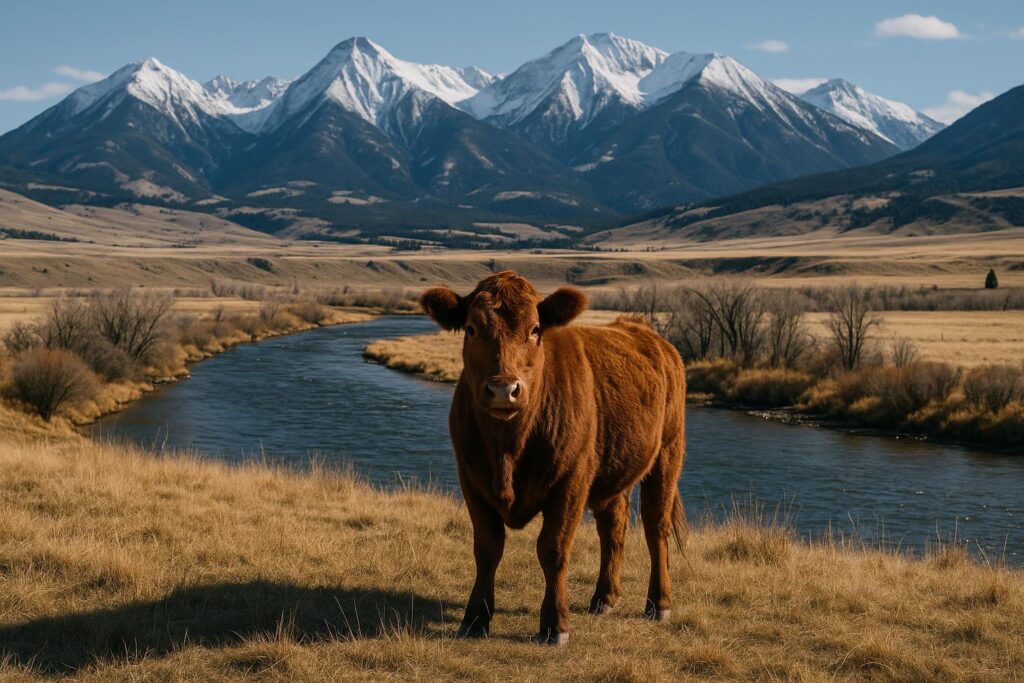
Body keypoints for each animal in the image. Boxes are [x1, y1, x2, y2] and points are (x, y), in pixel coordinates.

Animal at [421, 271, 686, 646]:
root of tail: (643, 331)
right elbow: (487, 549)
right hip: (615, 469)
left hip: (667, 453)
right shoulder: (471, 479)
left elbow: (553, 549)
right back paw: (604, 597)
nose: (503, 389)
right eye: (471, 329)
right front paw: (474, 619)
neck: (508, 449)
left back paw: (659, 603)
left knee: (655, 525)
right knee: (614, 526)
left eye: (535, 329)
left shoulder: (571, 483)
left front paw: (555, 625)